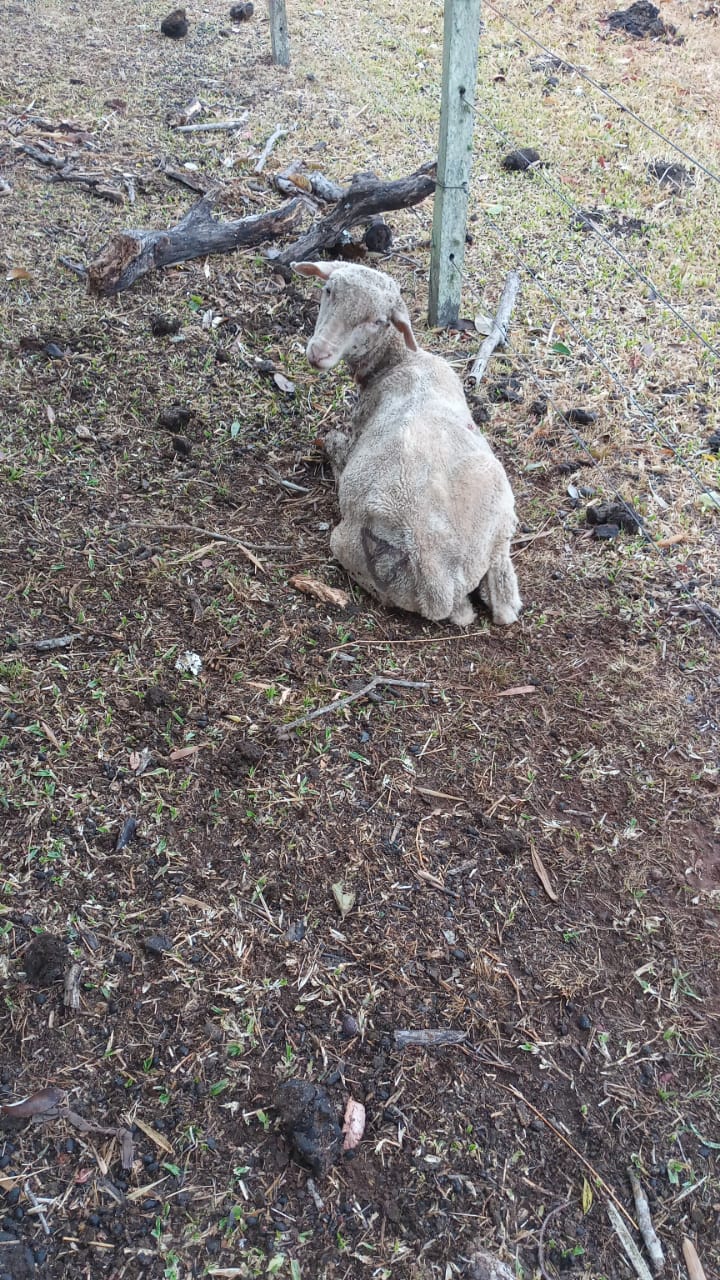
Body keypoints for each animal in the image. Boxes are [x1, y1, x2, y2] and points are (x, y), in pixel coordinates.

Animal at [292, 262, 520, 632]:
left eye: (377, 320)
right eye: (328, 291)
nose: (319, 352)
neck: (399, 361)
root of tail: (439, 582)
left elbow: (333, 440)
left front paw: (327, 443)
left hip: (350, 544)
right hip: (498, 517)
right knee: (503, 606)